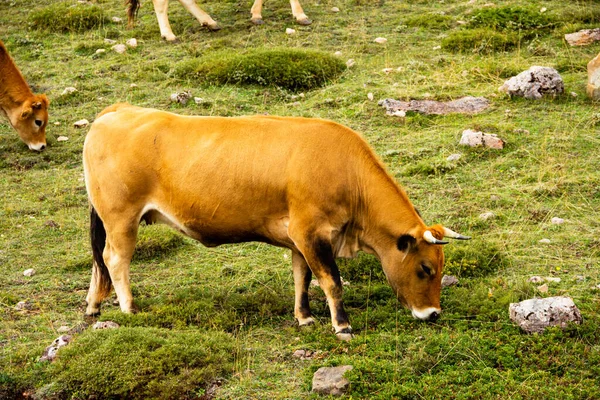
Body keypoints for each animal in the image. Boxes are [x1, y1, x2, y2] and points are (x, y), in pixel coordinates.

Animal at [83, 104, 468, 340]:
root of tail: (118, 110)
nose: (433, 313)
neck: (346, 172)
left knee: (98, 262)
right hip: (122, 218)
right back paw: (129, 308)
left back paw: (93, 306)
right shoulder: (311, 232)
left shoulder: (299, 238)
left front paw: (304, 317)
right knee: (115, 260)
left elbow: (302, 278)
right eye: (425, 269)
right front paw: (342, 325)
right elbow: (331, 281)